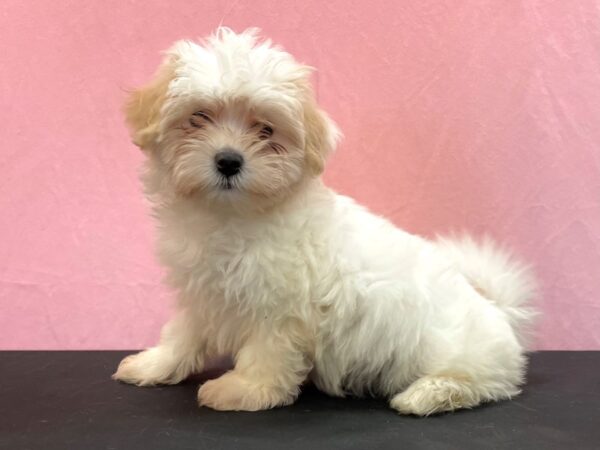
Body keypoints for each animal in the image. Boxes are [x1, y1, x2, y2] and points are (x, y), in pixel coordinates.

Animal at [115, 28, 536, 414]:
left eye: (266, 130)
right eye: (198, 117)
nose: (229, 160)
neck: (230, 216)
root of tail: (496, 309)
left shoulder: (279, 307)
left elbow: (266, 350)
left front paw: (244, 390)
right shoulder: (202, 292)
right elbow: (182, 333)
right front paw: (154, 364)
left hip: (460, 354)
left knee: (480, 382)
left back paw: (424, 395)